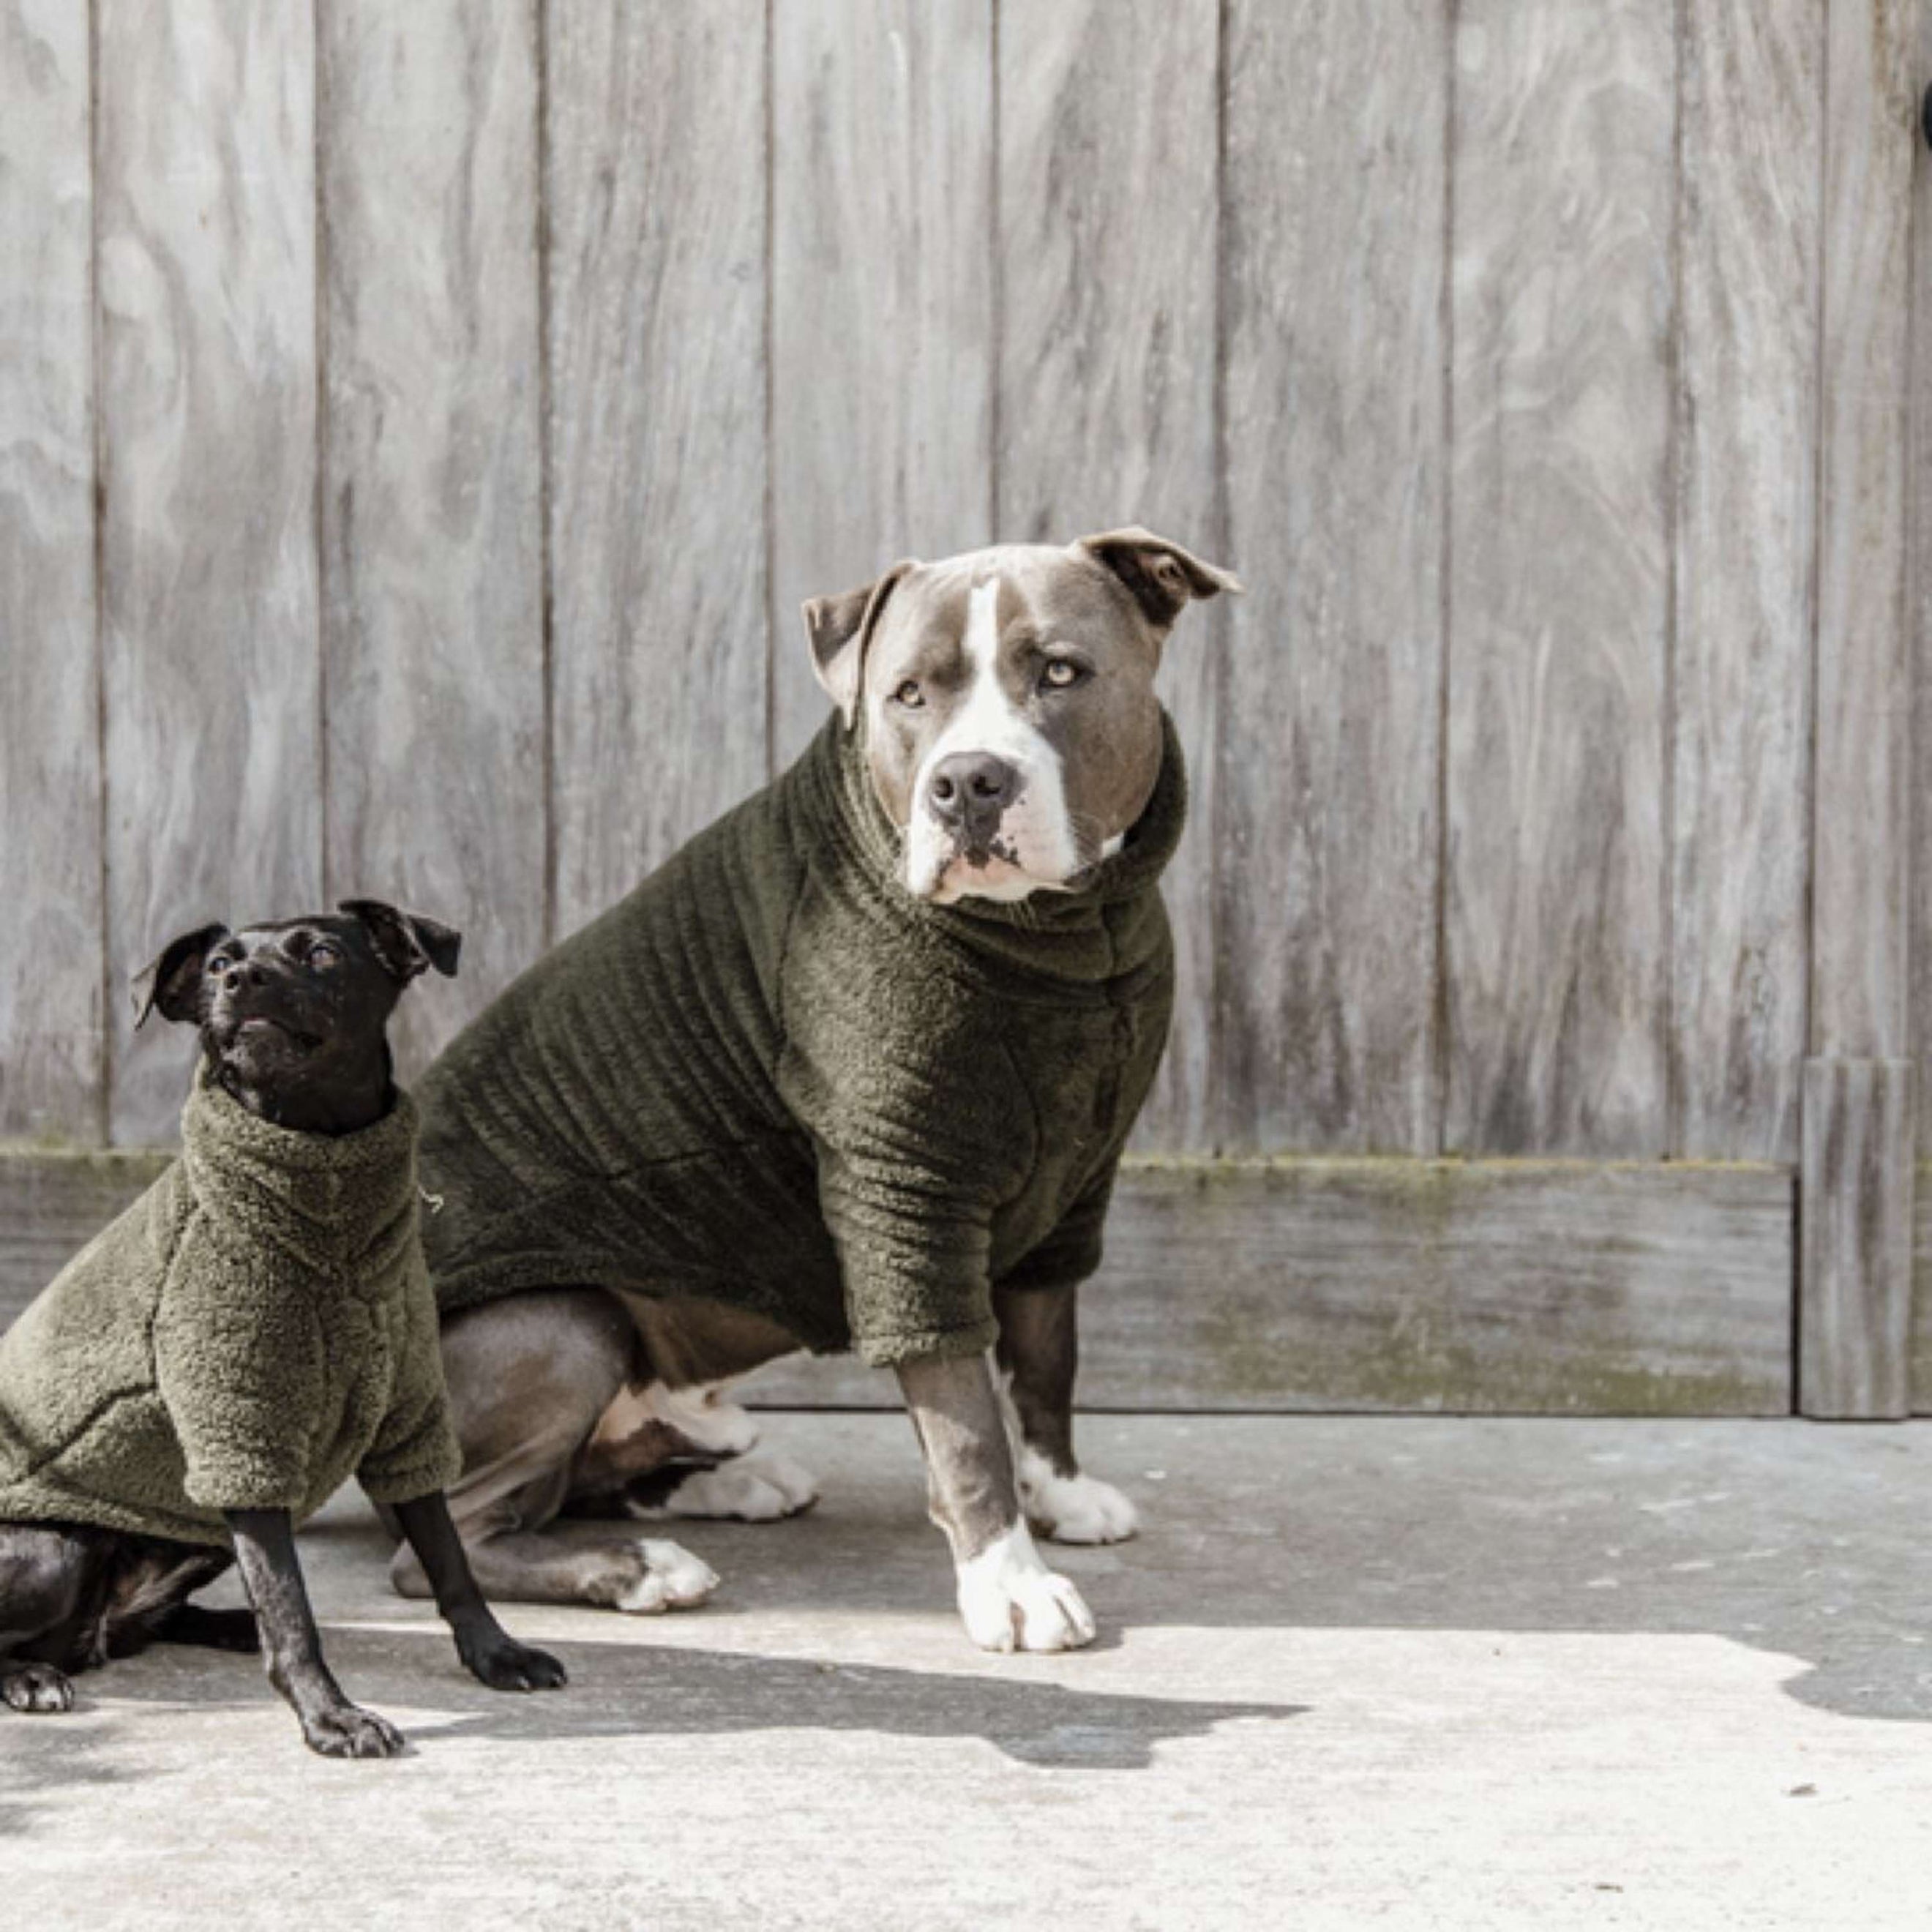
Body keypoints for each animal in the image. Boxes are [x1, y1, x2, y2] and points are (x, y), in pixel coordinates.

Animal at [0, 900, 564, 1754]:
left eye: (324, 953)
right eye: (215, 965)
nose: (242, 978)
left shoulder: (408, 1414)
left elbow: (448, 1557)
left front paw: (497, 1654)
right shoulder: (241, 1434)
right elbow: (290, 1601)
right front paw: (330, 1715)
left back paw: (220, 1627)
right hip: (51, 1552)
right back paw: (31, 1677)